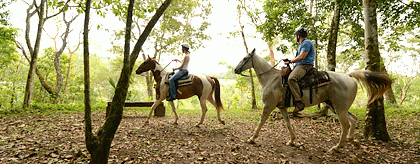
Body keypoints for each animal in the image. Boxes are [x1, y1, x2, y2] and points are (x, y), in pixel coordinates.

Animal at [235, 48, 392, 152]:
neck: (271, 79)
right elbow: (288, 123)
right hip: (336, 106)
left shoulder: (269, 105)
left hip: (339, 108)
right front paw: (292, 141)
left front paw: (252, 138)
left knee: (346, 125)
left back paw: (337, 147)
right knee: (353, 119)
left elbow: (261, 122)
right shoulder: (282, 107)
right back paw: (353, 142)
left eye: (245, 58)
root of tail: (348, 76)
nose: (236, 70)